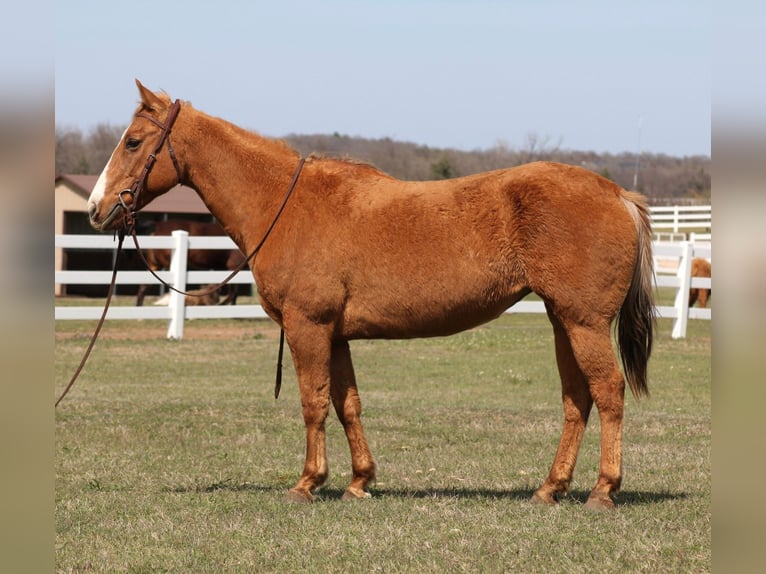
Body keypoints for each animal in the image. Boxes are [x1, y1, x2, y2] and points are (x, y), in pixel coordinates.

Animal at [86, 80, 655, 511]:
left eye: (133, 141)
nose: (95, 208)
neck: (286, 204)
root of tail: (617, 195)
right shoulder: (335, 335)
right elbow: (348, 404)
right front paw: (359, 481)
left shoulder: (308, 327)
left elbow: (313, 403)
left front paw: (308, 482)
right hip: (563, 321)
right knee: (577, 399)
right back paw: (550, 488)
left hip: (583, 323)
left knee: (608, 392)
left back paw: (603, 490)